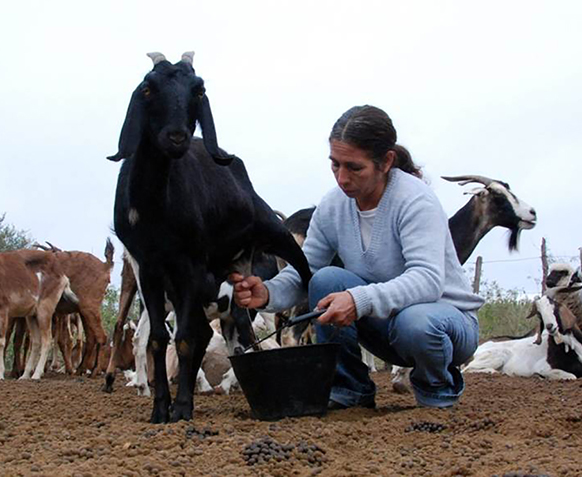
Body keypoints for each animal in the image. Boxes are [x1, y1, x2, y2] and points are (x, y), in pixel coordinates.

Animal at [107, 52, 312, 422]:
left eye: (198, 89)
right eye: (148, 87)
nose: (176, 137)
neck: (157, 208)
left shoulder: (190, 262)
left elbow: (186, 338)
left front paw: (181, 408)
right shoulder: (148, 268)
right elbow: (159, 338)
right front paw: (161, 409)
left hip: (271, 239)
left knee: (306, 280)